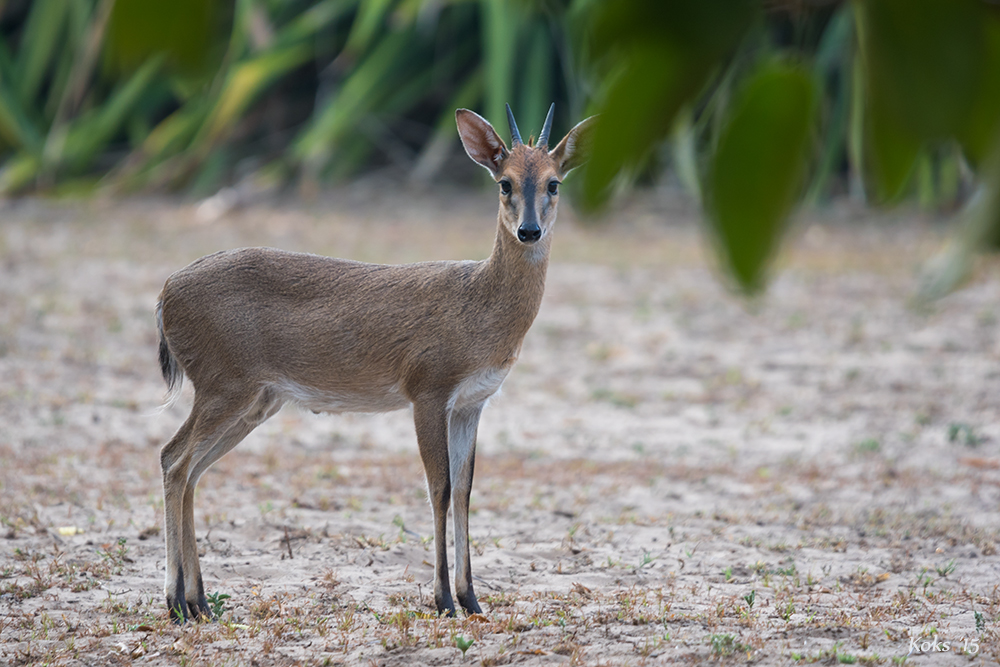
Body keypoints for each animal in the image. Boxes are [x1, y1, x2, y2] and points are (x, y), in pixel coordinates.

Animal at [154, 104, 592, 620]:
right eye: (504, 182)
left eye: (553, 183)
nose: (529, 230)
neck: (480, 307)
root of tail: (165, 293)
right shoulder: (428, 389)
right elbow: (439, 488)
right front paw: (444, 600)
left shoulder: (472, 402)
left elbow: (465, 490)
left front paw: (472, 599)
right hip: (223, 386)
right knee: (174, 460)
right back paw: (175, 603)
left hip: (255, 400)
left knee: (192, 470)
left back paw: (199, 601)